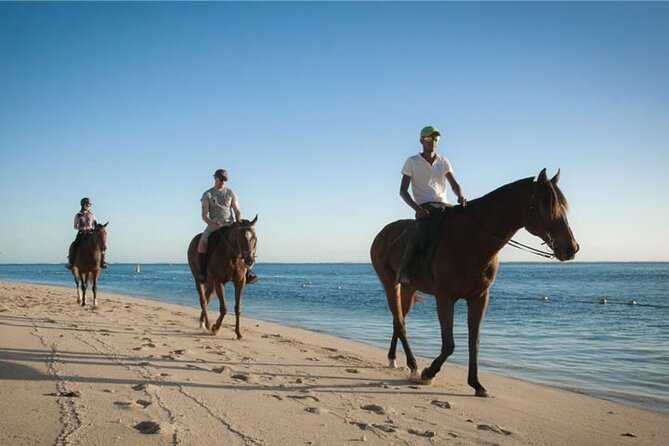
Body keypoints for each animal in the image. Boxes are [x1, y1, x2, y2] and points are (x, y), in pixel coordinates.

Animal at [370, 169, 579, 397]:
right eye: (546, 204)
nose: (571, 248)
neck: (471, 241)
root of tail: (382, 234)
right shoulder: (445, 297)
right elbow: (449, 344)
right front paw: (428, 373)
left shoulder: (479, 298)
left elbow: (474, 342)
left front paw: (477, 384)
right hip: (391, 284)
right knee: (400, 322)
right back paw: (414, 366)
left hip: (408, 289)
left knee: (398, 320)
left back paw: (394, 359)